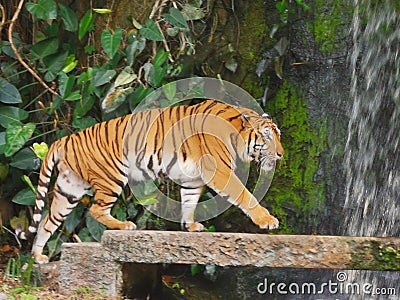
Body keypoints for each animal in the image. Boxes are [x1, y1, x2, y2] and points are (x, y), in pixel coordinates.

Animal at [16, 100, 284, 262]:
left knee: (47, 221)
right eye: (268, 138)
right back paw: (124, 226)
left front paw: (189, 226)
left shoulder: (193, 178)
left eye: (278, 136)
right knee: (95, 210)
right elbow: (244, 194)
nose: (281, 154)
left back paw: (38, 257)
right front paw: (267, 221)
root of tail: (65, 139)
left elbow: (189, 201)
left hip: (69, 189)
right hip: (112, 176)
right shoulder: (219, 170)